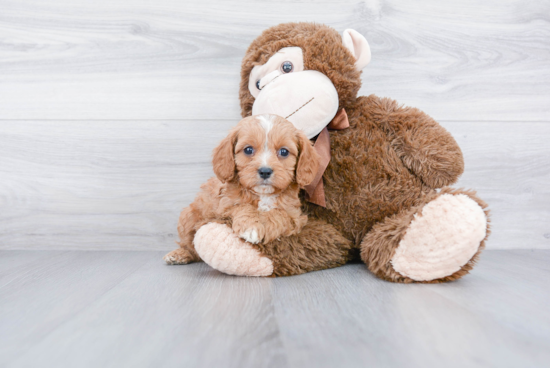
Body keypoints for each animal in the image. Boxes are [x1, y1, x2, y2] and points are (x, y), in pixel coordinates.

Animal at [164, 113, 320, 264]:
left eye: (284, 152)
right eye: (248, 150)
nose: (265, 171)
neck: (263, 195)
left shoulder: (295, 217)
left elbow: (279, 214)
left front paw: (263, 224)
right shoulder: (224, 208)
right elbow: (242, 206)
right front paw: (251, 227)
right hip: (188, 217)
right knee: (190, 245)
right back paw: (180, 254)